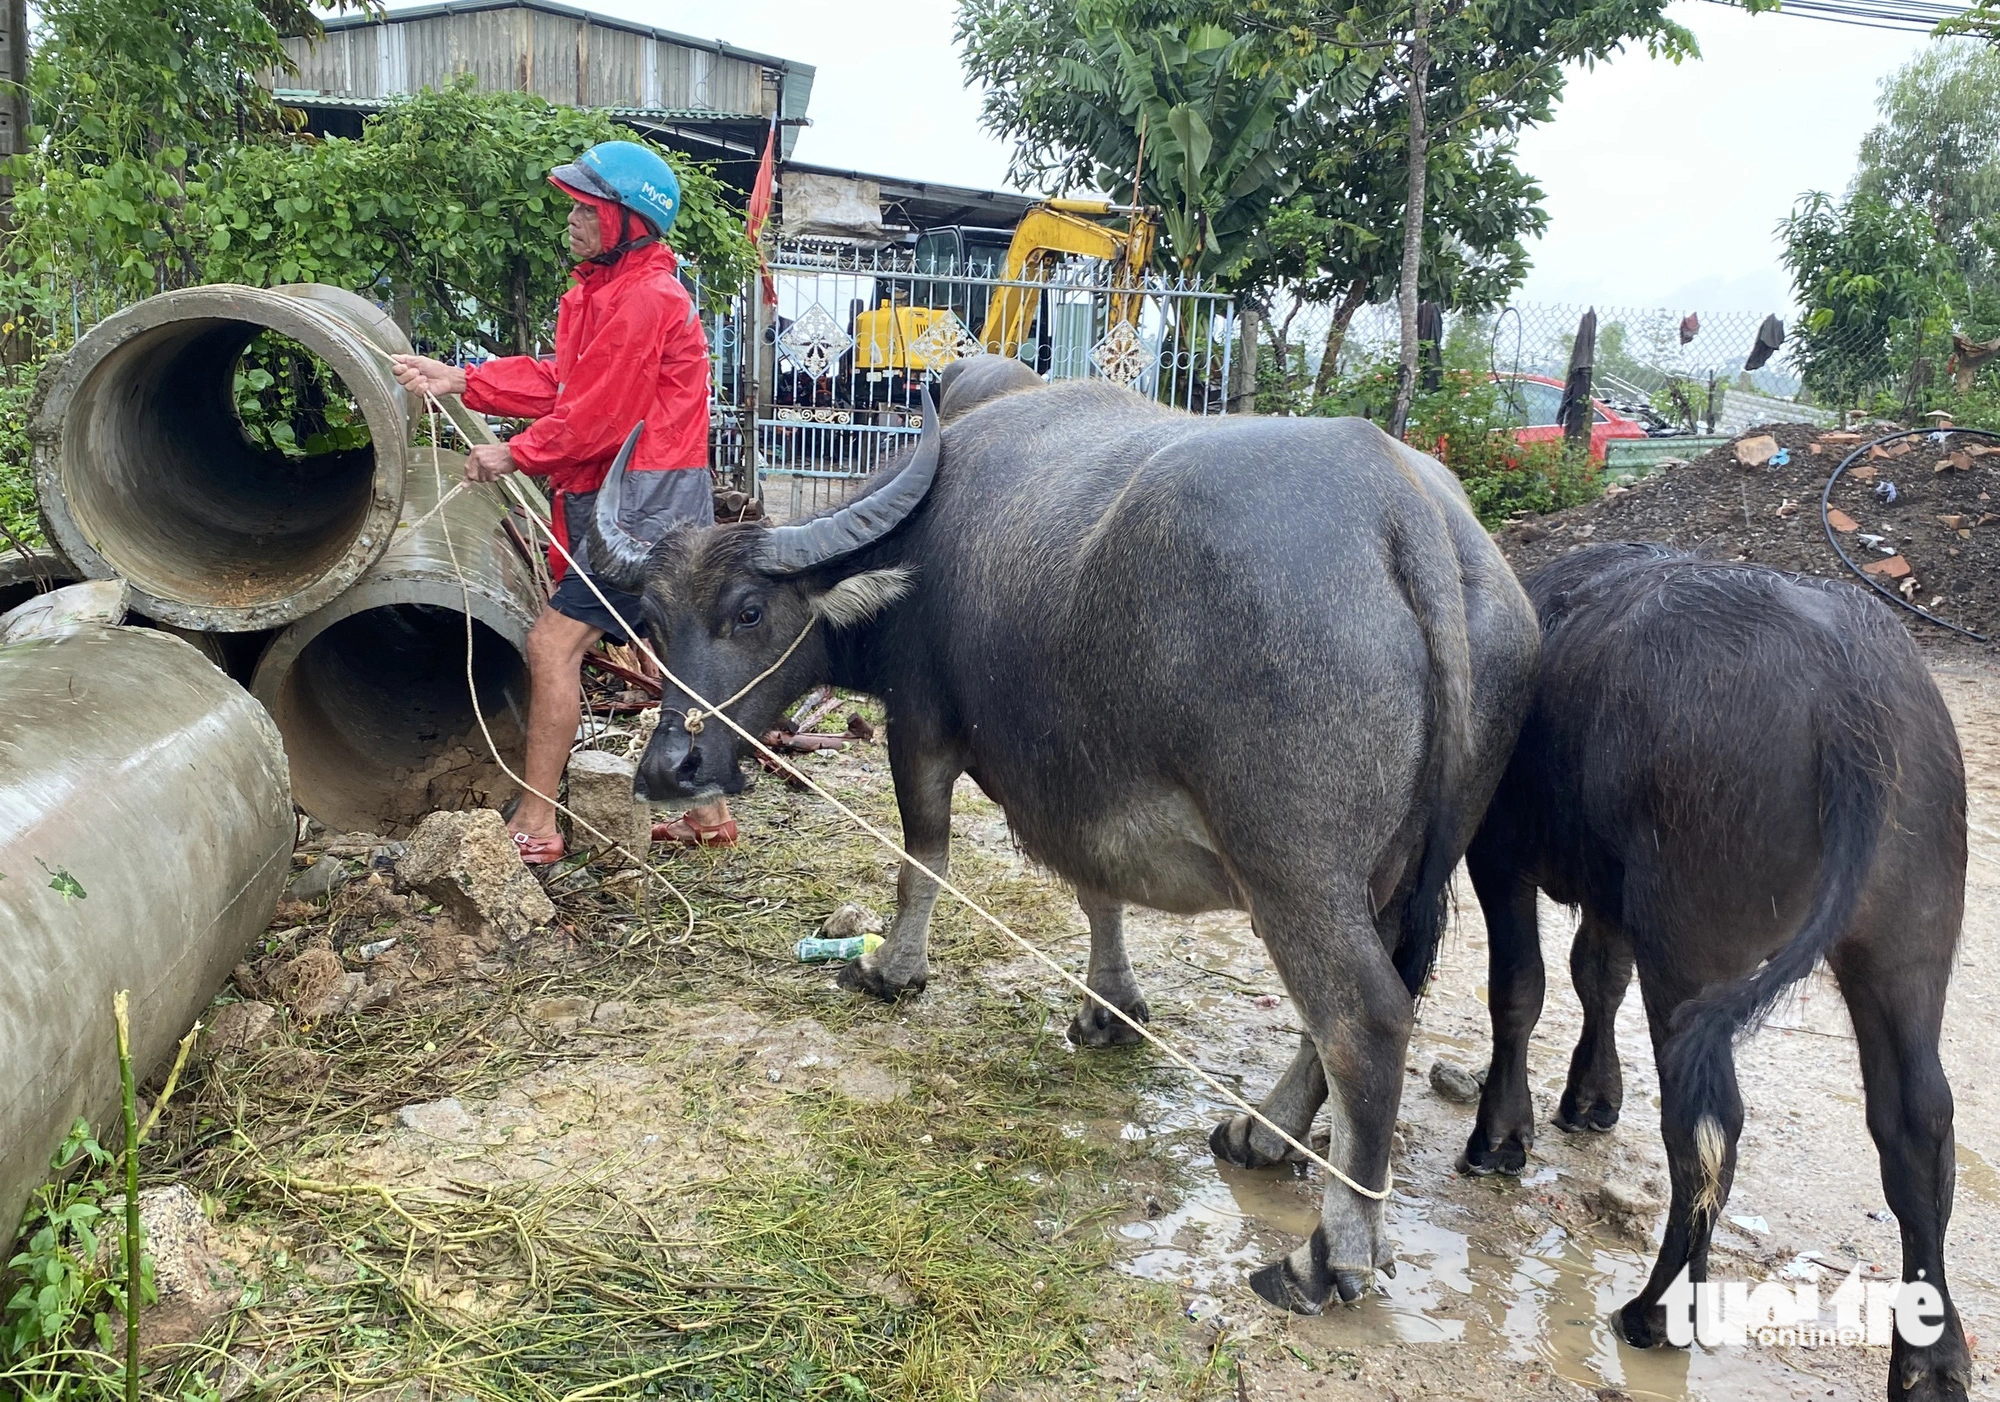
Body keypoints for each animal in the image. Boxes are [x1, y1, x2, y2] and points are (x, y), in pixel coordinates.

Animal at [584, 366, 1536, 1304]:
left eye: (748, 612)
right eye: (653, 619)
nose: (670, 768)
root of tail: (1411, 517)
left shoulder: (923, 726)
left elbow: (923, 857)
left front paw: (891, 970)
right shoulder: (1080, 781)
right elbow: (1096, 890)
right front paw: (1109, 1009)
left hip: (1296, 871)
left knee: (1364, 1019)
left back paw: (1329, 1252)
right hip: (1392, 873)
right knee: (1368, 998)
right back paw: (1262, 1134)